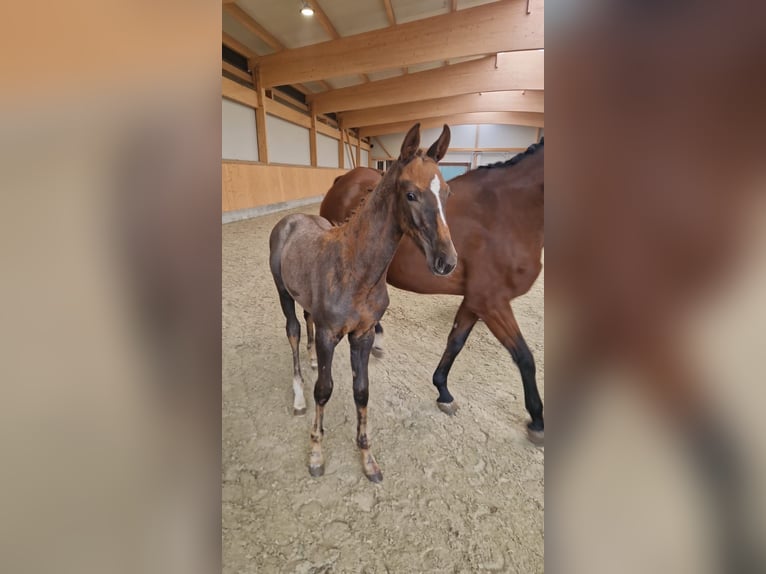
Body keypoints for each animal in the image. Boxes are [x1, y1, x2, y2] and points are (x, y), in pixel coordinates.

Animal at [269, 123, 457, 482]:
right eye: (410, 194)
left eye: (446, 192)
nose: (448, 261)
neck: (355, 269)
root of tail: (290, 220)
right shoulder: (329, 334)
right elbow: (324, 389)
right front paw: (316, 453)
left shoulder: (364, 334)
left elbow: (362, 391)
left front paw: (368, 458)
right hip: (283, 293)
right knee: (293, 332)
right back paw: (298, 395)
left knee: (307, 320)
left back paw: (311, 360)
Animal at [319, 140, 545, 443]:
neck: (504, 213)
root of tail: (344, 179)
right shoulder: (492, 302)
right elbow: (524, 357)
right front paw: (537, 419)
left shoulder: (475, 302)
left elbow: (455, 342)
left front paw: (443, 390)